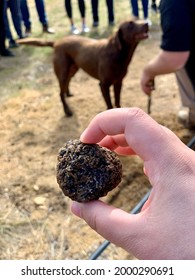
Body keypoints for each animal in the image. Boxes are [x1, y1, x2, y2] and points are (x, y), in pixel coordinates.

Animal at [17, 21, 148, 116]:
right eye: (130, 24)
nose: (146, 23)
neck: (118, 53)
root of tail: (56, 42)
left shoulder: (118, 82)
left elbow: (117, 100)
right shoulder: (103, 85)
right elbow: (110, 104)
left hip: (73, 68)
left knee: (67, 83)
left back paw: (68, 93)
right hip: (62, 72)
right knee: (60, 93)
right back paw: (67, 111)